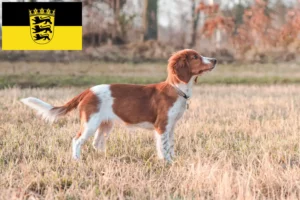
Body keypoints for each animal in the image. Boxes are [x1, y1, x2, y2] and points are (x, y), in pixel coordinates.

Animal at [21, 49, 218, 163]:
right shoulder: (162, 126)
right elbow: (163, 147)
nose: (215, 60)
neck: (176, 89)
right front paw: (166, 163)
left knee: (97, 143)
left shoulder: (171, 127)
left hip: (105, 124)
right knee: (76, 140)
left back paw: (105, 158)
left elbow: (171, 146)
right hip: (90, 123)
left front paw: (173, 161)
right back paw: (76, 160)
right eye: (195, 57)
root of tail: (87, 91)